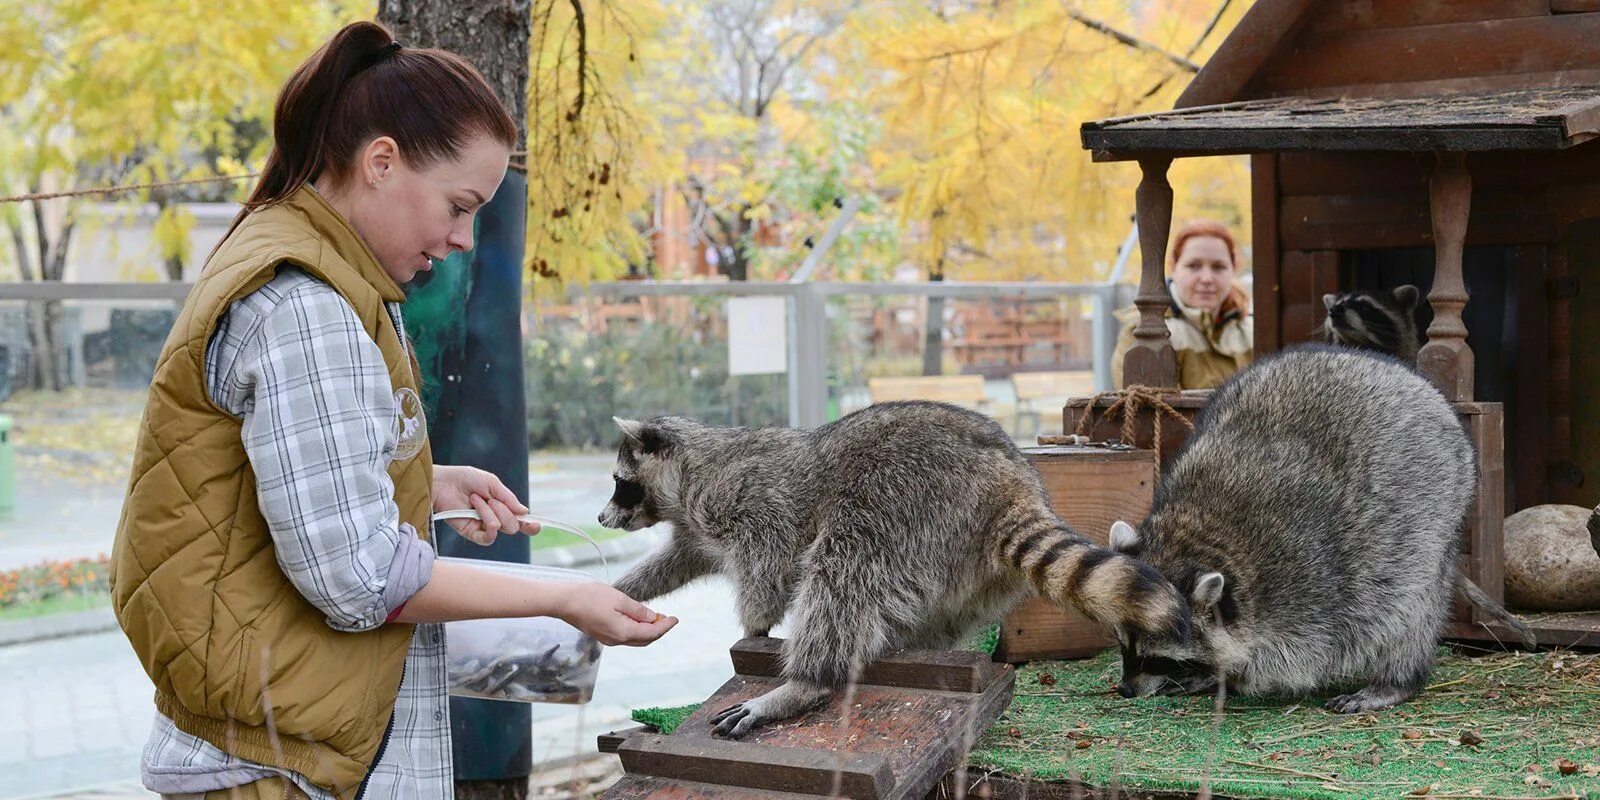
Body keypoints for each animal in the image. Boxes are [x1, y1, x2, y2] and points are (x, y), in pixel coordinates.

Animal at [601, 403, 1190, 739]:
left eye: (618, 484)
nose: (602, 518)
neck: (693, 472)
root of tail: (1012, 481)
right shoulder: (696, 526)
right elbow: (677, 562)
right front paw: (622, 590)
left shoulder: (753, 500)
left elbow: (768, 564)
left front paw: (756, 625)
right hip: (965, 569)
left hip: (903, 495)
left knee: (843, 573)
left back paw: (804, 683)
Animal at [1107, 344, 1529, 713]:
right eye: (1122, 644)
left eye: (1157, 658)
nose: (1126, 690)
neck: (1197, 533)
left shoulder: (1308, 587)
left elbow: (1295, 657)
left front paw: (1227, 673)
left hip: (1434, 509)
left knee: (1410, 608)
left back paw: (1397, 679)